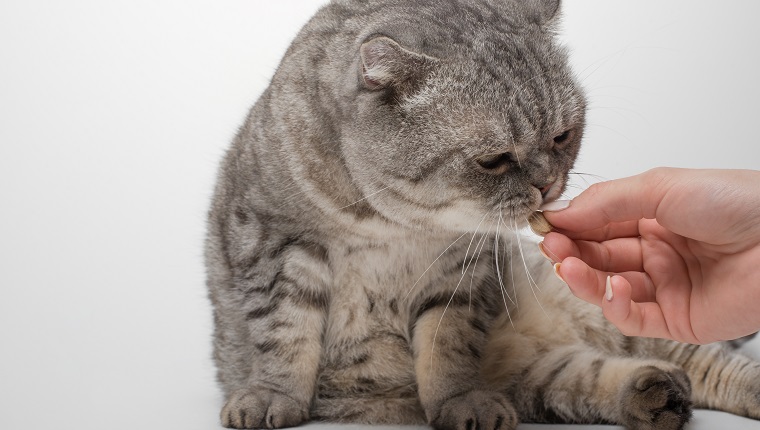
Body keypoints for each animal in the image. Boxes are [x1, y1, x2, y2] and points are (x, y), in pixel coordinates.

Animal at [203, 0, 760, 430]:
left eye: (562, 136)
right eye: (494, 160)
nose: (546, 184)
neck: (396, 226)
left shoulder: (461, 274)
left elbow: (447, 347)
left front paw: (459, 401)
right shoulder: (274, 246)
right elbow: (283, 336)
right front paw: (274, 396)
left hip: (601, 315)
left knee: (702, 358)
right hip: (541, 377)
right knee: (598, 376)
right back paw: (654, 394)